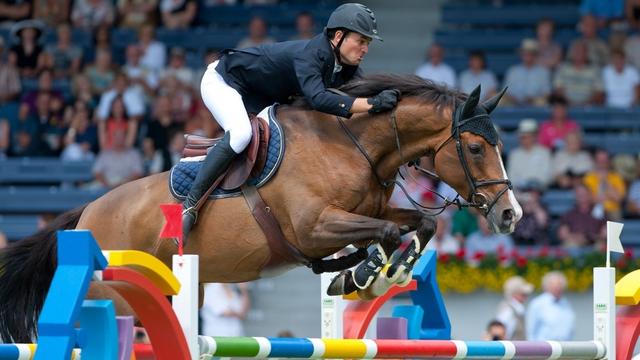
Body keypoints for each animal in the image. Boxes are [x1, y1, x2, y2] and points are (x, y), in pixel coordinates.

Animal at [0, 74, 520, 342]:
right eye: (476, 148)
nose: (510, 214)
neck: (355, 146)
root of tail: (85, 216)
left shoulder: (370, 212)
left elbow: (421, 223)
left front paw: (374, 272)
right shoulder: (313, 228)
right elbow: (387, 234)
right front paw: (365, 273)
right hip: (120, 298)